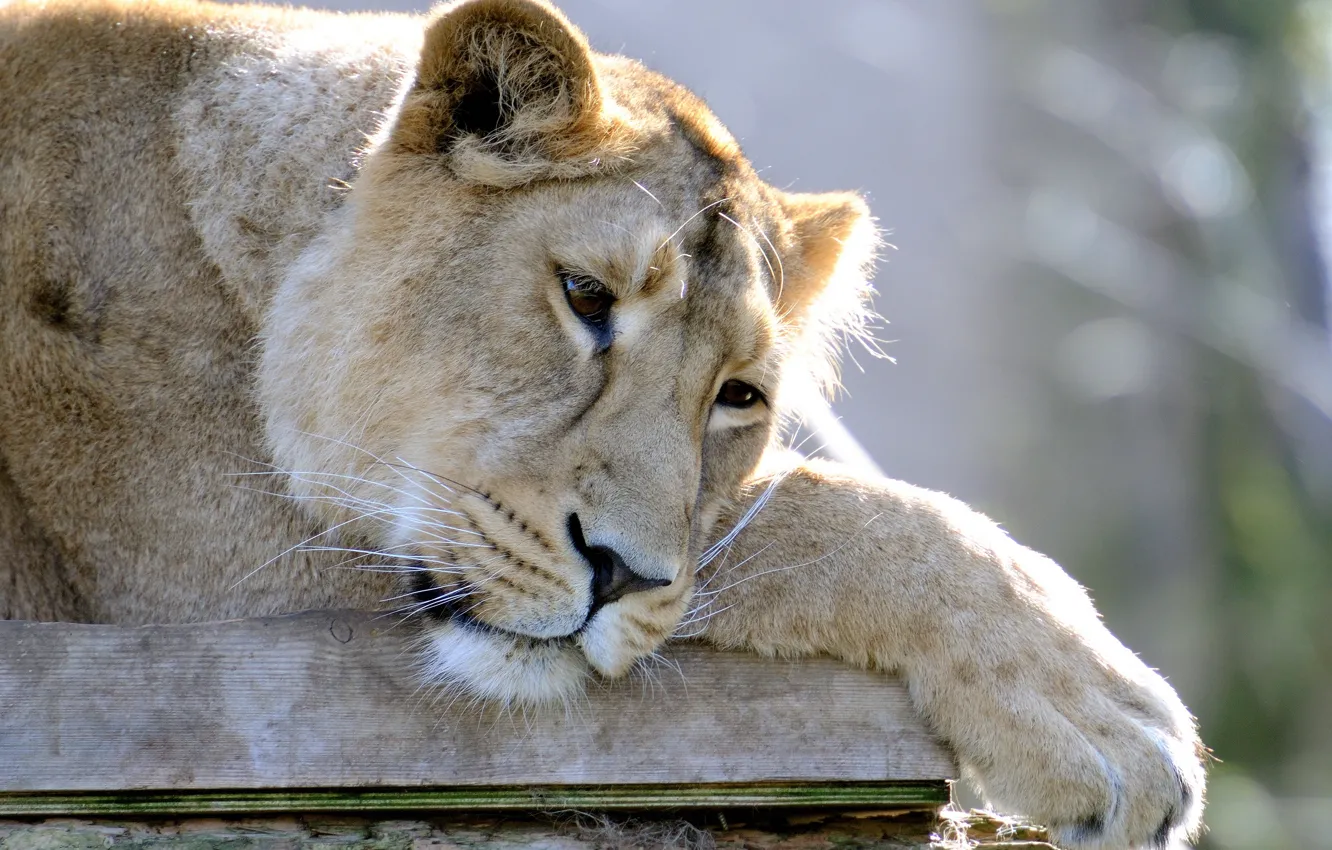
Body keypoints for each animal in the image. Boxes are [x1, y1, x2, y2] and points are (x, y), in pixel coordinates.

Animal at [0, 0, 1204, 845]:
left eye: (740, 396)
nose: (619, 574)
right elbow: (803, 514)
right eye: (585, 297)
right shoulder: (212, 588)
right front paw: (1103, 713)